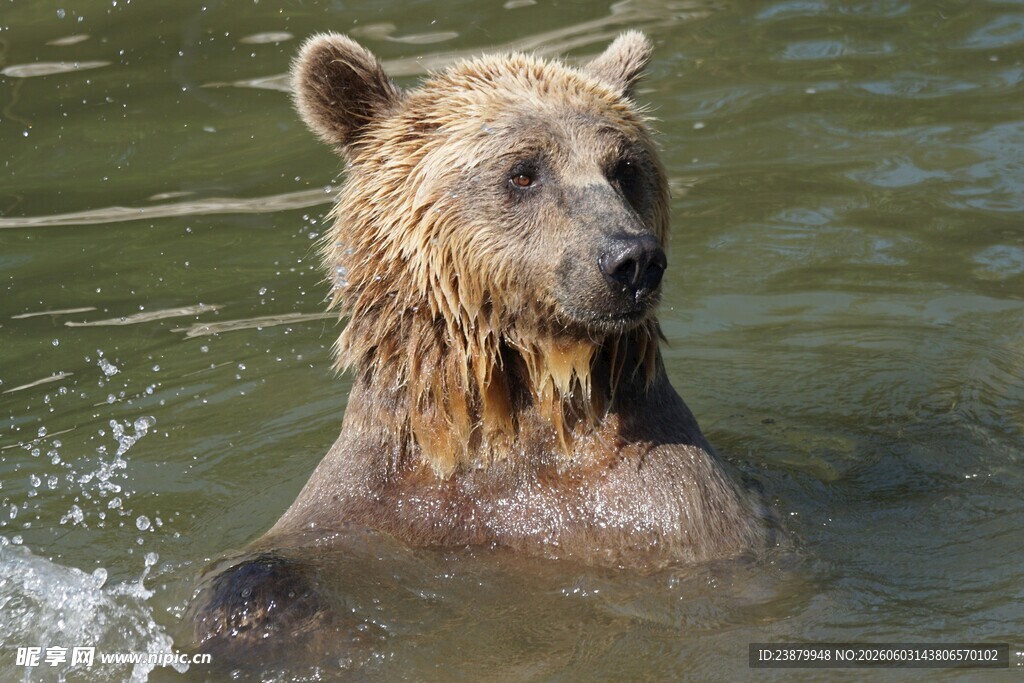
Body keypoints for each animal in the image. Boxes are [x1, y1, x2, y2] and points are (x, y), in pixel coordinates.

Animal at [189, 30, 771, 660]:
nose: (632, 259)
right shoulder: (379, 496)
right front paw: (253, 614)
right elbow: (276, 562)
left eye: (625, 167)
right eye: (523, 172)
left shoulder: (667, 507)